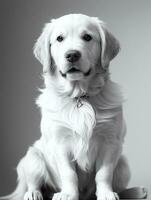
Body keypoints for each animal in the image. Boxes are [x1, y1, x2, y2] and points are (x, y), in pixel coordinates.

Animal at [0, 13, 131, 200]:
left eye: (87, 37)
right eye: (59, 38)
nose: (72, 55)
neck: (79, 96)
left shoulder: (110, 141)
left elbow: (104, 173)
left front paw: (106, 193)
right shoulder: (60, 142)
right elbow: (69, 174)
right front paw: (68, 194)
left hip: (123, 164)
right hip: (33, 158)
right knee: (33, 182)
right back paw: (33, 193)